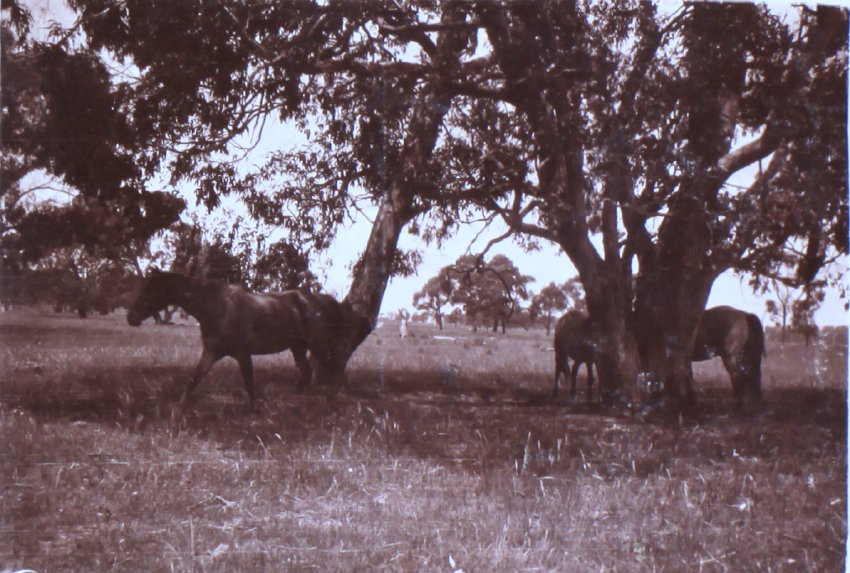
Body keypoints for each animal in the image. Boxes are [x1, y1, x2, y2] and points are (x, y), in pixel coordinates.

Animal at [126, 270, 357, 409]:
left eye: (149, 289)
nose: (131, 317)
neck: (218, 308)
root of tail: (322, 299)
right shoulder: (211, 352)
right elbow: (194, 379)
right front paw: (178, 410)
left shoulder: (243, 354)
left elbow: (249, 382)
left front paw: (256, 412)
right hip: (297, 347)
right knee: (307, 371)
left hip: (319, 345)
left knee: (336, 363)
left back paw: (331, 398)